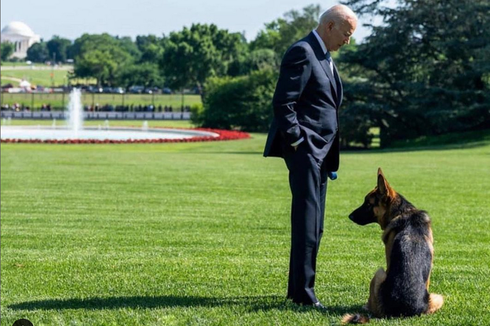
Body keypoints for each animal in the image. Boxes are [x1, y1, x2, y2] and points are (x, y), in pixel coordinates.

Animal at [340, 168, 444, 324]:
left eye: (368, 204)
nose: (350, 216)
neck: (403, 211)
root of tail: (397, 313)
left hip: (379, 273)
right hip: (436, 297)